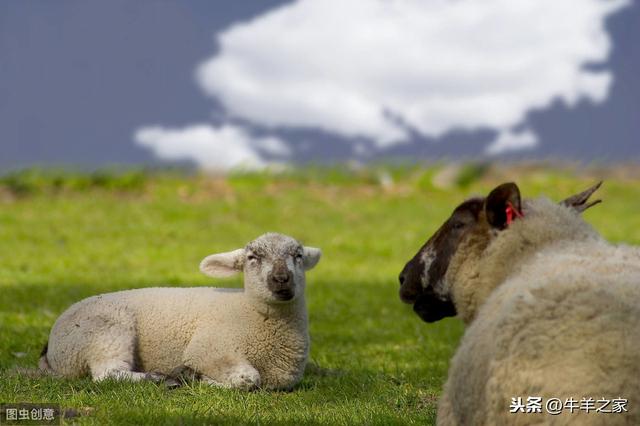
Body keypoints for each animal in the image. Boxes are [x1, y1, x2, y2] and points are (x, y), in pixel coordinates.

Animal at [37, 233, 322, 390]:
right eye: (253, 258)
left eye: (297, 255)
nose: (281, 279)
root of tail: (51, 348)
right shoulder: (208, 349)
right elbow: (249, 379)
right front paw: (194, 377)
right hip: (103, 332)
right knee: (107, 374)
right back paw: (159, 378)